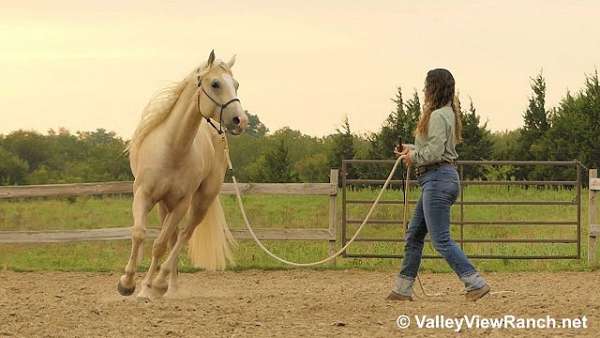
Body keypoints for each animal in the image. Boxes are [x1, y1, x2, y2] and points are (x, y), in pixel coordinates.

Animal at [117, 50, 248, 298]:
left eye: (236, 84)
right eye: (215, 83)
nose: (240, 121)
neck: (173, 149)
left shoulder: (181, 203)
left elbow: (159, 245)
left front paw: (146, 288)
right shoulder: (143, 195)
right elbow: (139, 233)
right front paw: (127, 284)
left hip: (201, 201)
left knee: (183, 236)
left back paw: (163, 283)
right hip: (164, 205)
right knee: (174, 238)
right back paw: (168, 286)